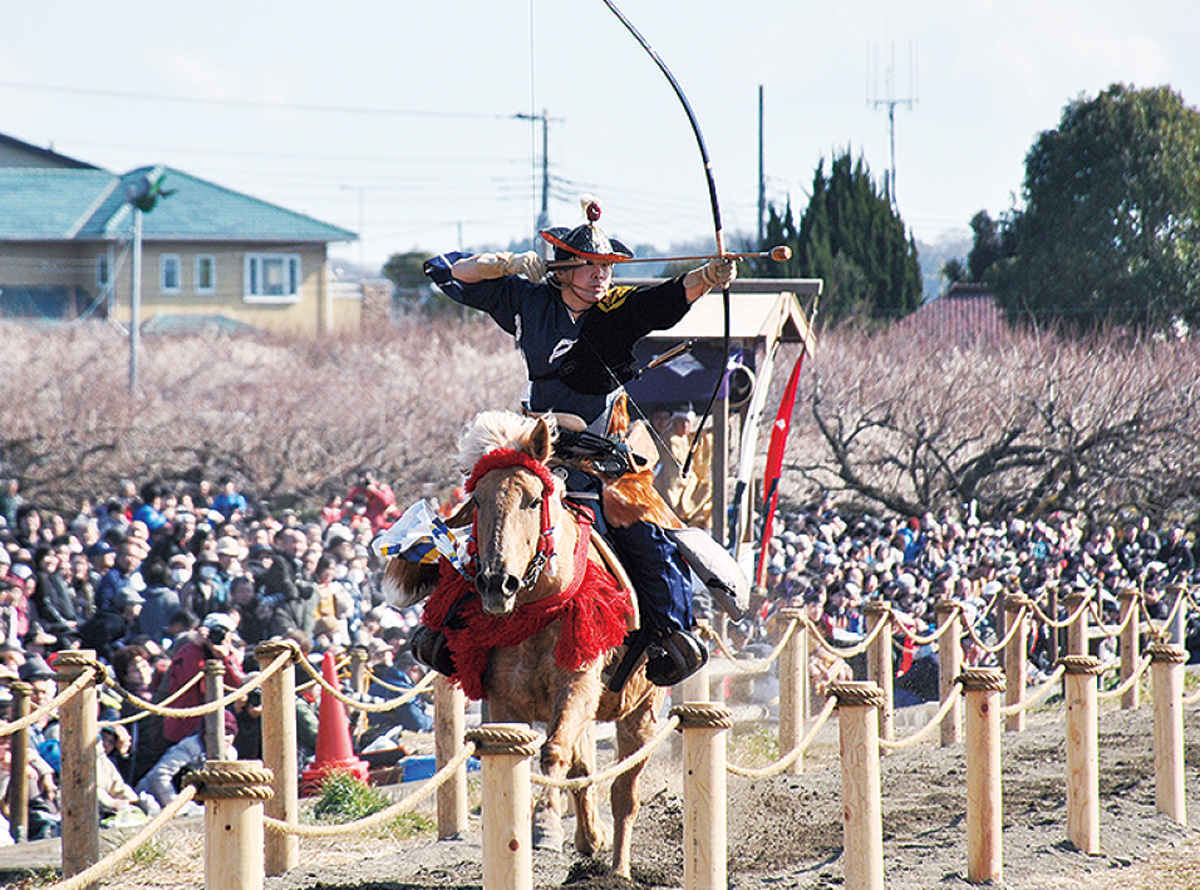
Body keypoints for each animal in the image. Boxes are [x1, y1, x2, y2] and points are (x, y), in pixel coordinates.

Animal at [381, 410, 667, 878]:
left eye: (533, 500)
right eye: (478, 501)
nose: (497, 583)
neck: (537, 610)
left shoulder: (577, 682)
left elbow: (554, 751)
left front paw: (546, 823)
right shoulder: (504, 698)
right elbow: (550, 757)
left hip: (640, 710)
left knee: (625, 793)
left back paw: (619, 870)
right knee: (585, 766)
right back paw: (589, 838)